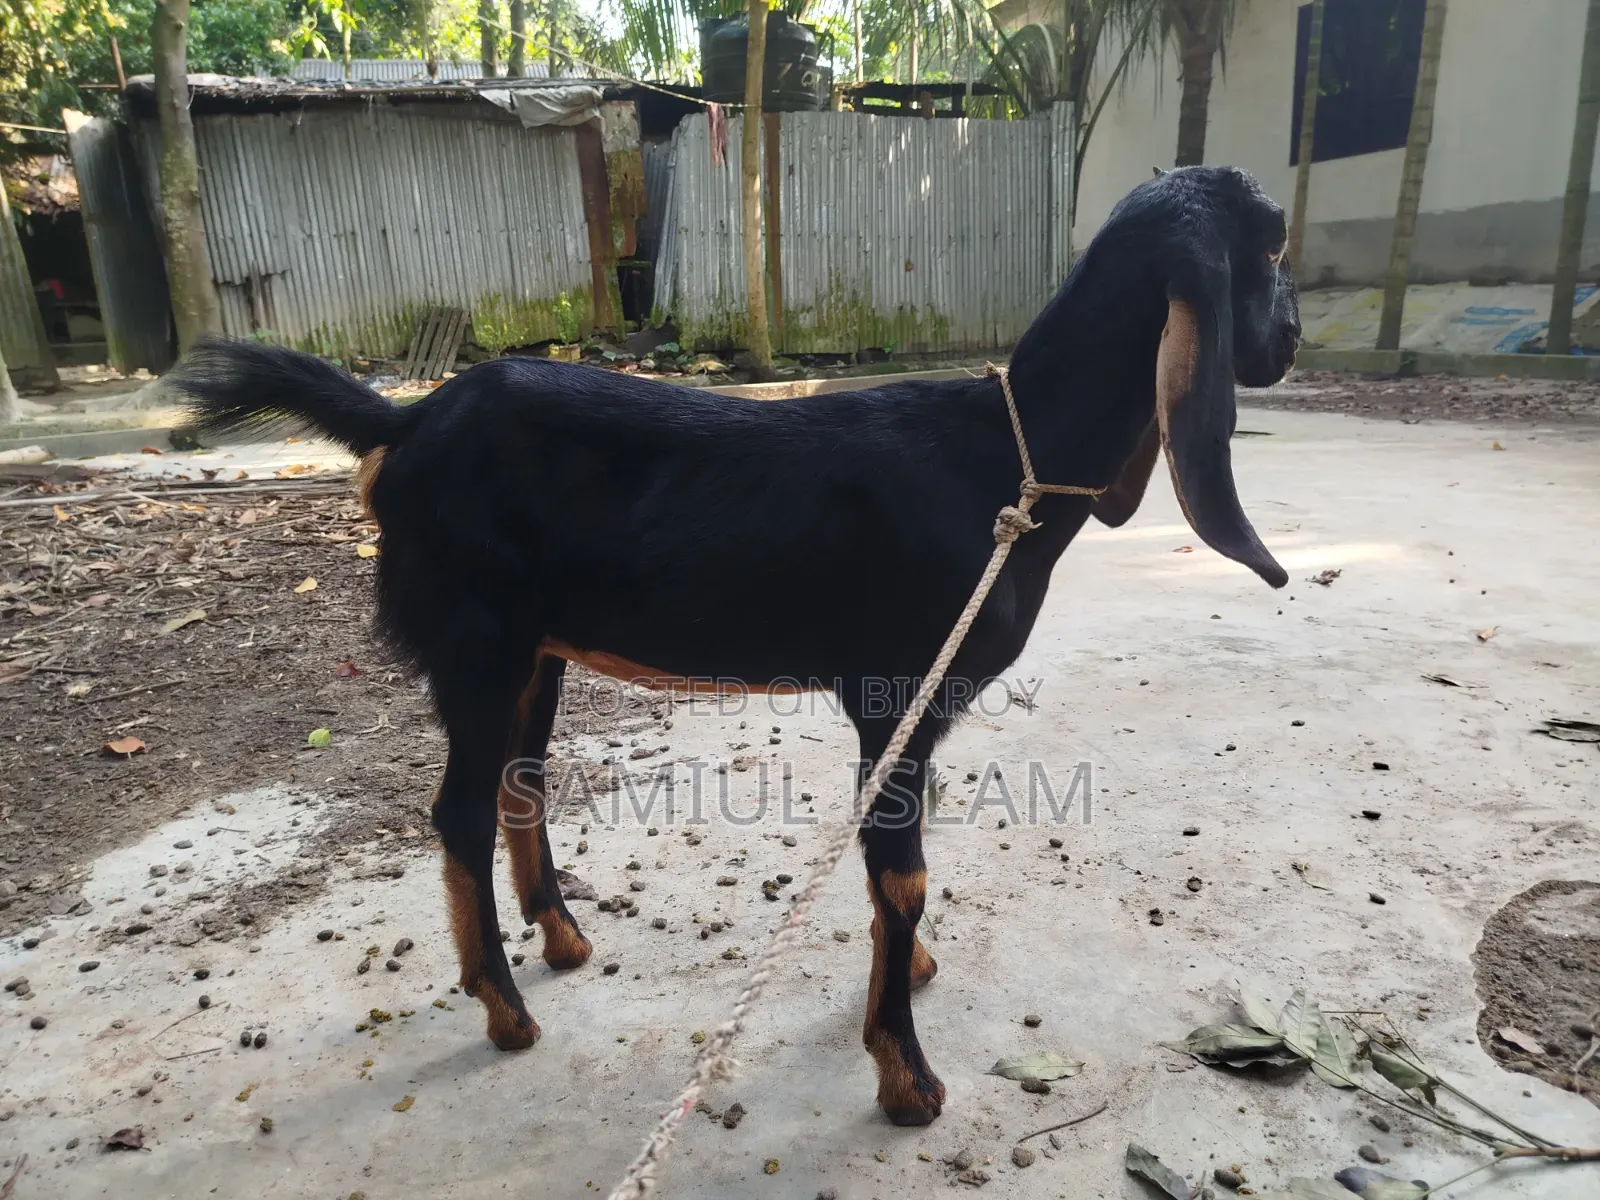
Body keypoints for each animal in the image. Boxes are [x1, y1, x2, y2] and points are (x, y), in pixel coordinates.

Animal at [171, 165, 1299, 1126]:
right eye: (1272, 249)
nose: (1289, 340)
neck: (1000, 463)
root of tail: (403, 426)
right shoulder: (894, 691)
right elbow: (902, 874)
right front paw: (907, 1076)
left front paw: (912, 974)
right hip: (476, 637)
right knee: (459, 810)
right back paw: (503, 1007)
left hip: (537, 647)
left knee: (520, 783)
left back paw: (563, 937)